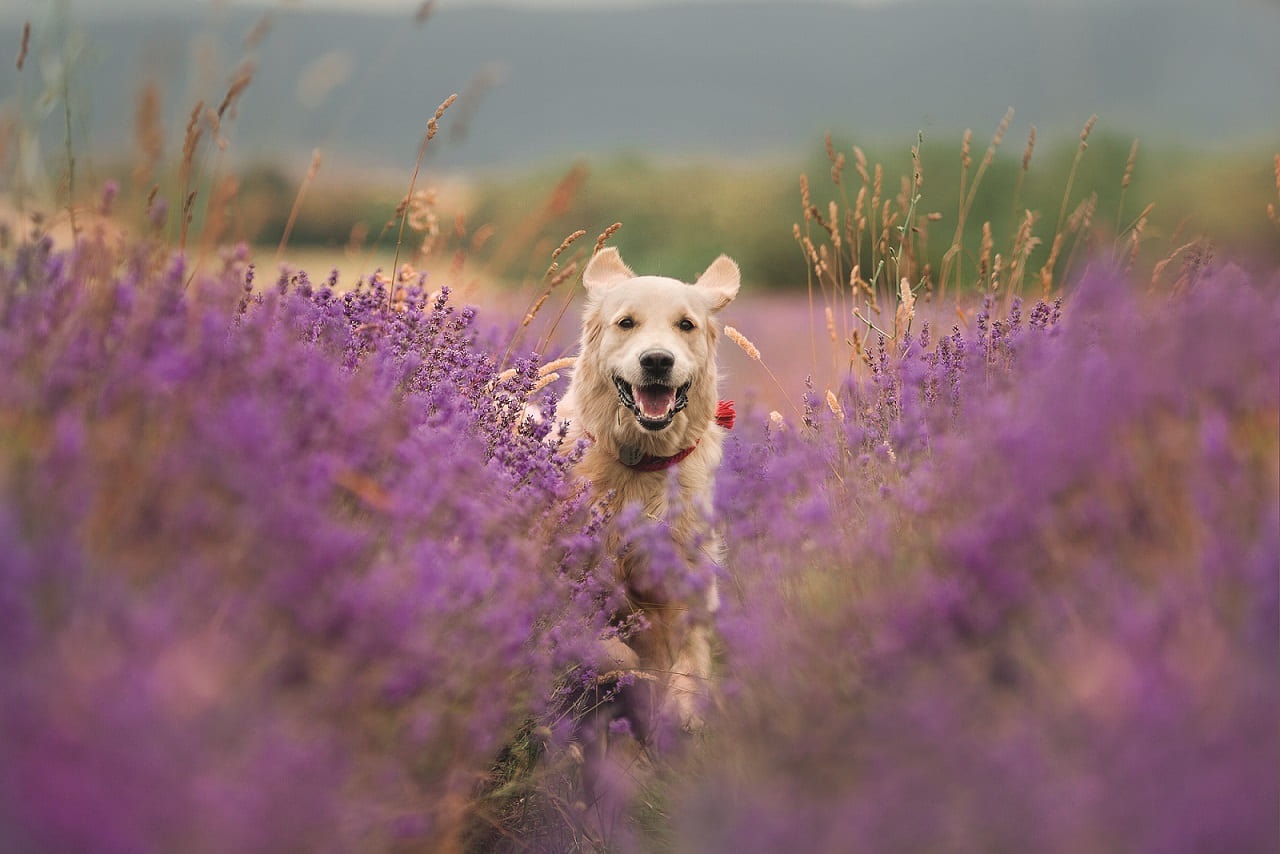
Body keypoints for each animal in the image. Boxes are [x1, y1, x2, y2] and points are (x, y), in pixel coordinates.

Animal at [552, 247, 737, 747]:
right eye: (626, 323)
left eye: (686, 324)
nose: (657, 361)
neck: (640, 461)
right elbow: (615, 652)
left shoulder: (685, 576)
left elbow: (689, 656)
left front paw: (682, 713)